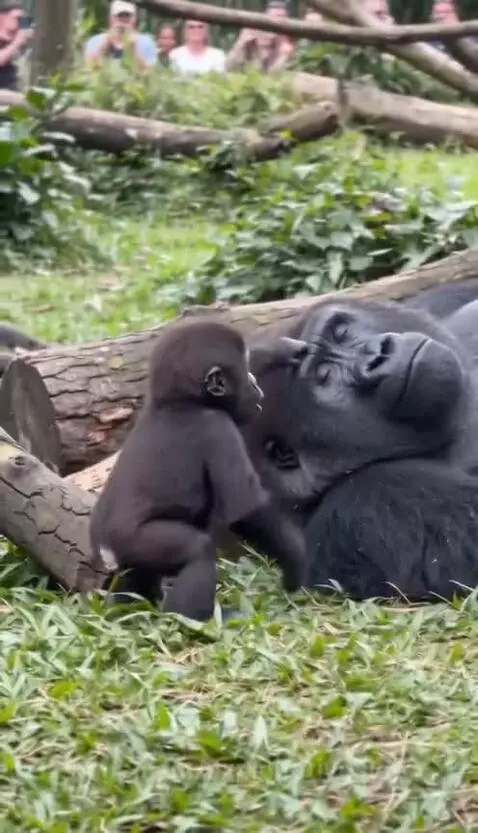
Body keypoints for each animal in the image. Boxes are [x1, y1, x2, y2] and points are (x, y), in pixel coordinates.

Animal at [89, 319, 309, 622]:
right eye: (245, 372)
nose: (254, 382)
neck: (182, 402)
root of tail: (102, 544)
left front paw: (282, 349)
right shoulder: (219, 430)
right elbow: (246, 509)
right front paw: (296, 565)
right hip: (133, 541)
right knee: (197, 550)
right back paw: (188, 619)